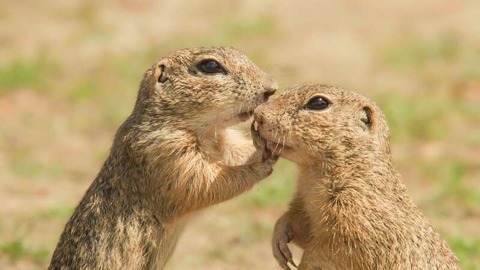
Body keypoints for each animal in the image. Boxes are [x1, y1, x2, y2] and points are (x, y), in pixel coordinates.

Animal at [48, 47, 278, 270]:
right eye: (211, 66)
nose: (272, 88)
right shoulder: (165, 153)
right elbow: (202, 182)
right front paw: (260, 165)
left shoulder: (224, 142)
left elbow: (237, 151)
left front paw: (266, 142)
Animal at [253, 83, 460, 268]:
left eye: (318, 103)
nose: (258, 114)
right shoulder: (305, 204)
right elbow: (298, 224)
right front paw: (279, 238)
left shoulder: (359, 221)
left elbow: (331, 252)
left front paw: (305, 263)